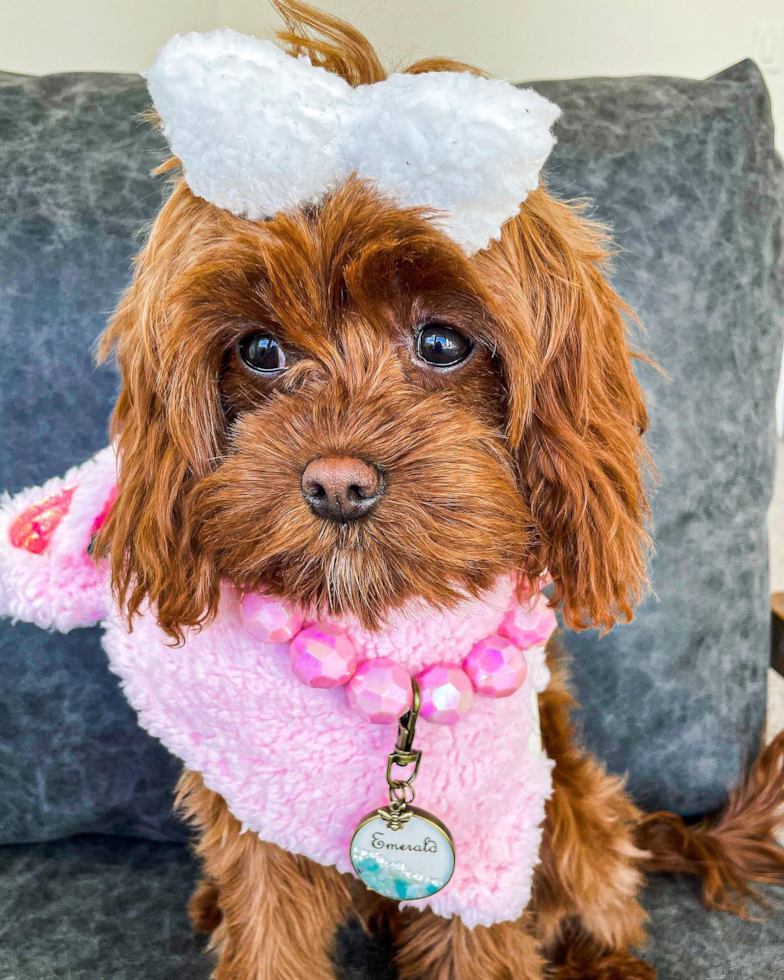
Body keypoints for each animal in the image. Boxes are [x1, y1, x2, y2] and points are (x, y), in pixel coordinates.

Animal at [1, 3, 784, 976]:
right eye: (259, 349)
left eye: (443, 342)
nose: (337, 484)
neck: (378, 627)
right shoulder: (258, 825)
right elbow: (267, 930)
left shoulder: (487, 834)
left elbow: (482, 944)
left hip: (573, 805)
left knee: (599, 889)